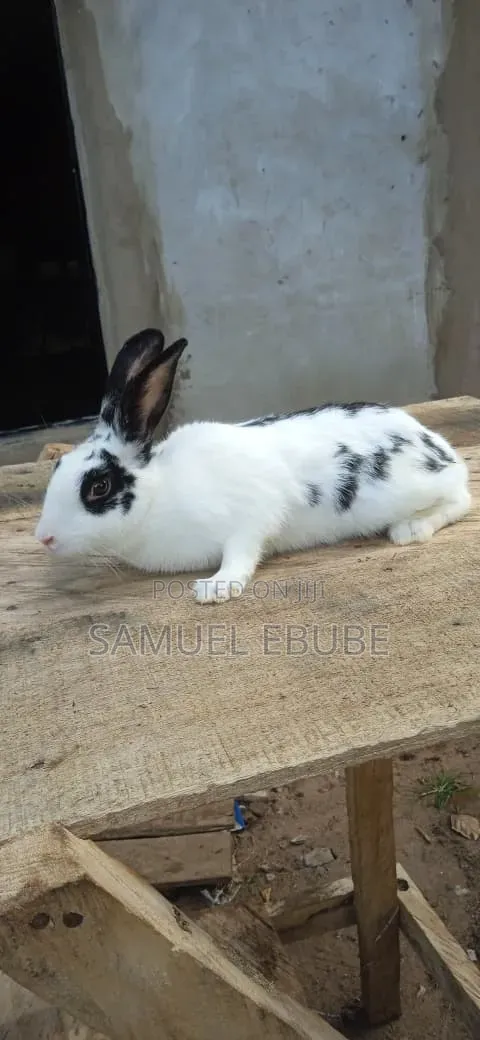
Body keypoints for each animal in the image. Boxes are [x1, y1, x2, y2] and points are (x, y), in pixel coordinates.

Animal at [35, 327, 471, 604]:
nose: (44, 539)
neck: (160, 492)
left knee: (461, 500)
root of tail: (433, 442)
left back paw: (409, 530)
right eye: (58, 467)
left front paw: (215, 589)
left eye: (98, 488)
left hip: (423, 487)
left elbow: (242, 552)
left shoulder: (249, 516)